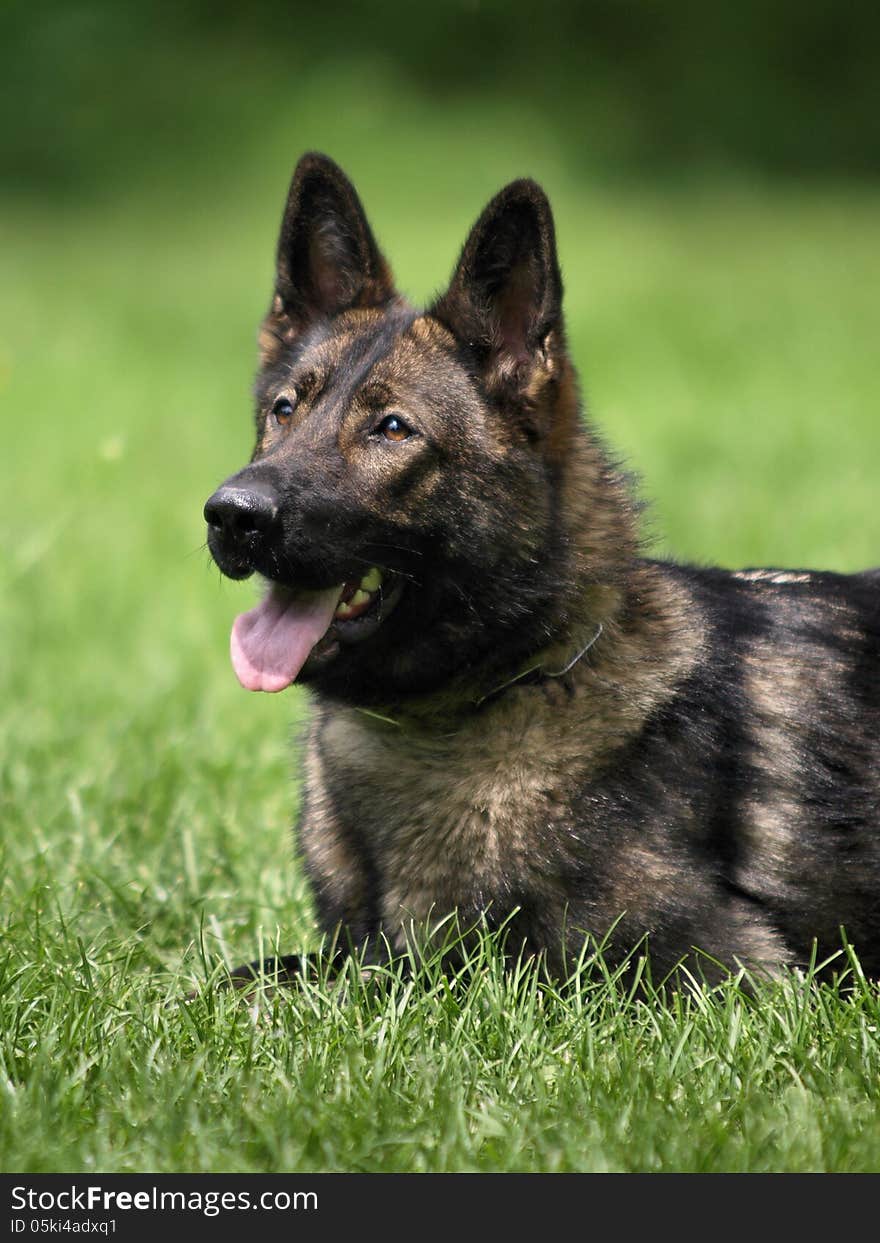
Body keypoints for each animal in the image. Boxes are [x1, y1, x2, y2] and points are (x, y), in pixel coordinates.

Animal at [205, 155, 879, 984]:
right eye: (284, 410)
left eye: (392, 428)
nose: (231, 515)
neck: (511, 680)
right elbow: (243, 972)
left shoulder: (721, 972)